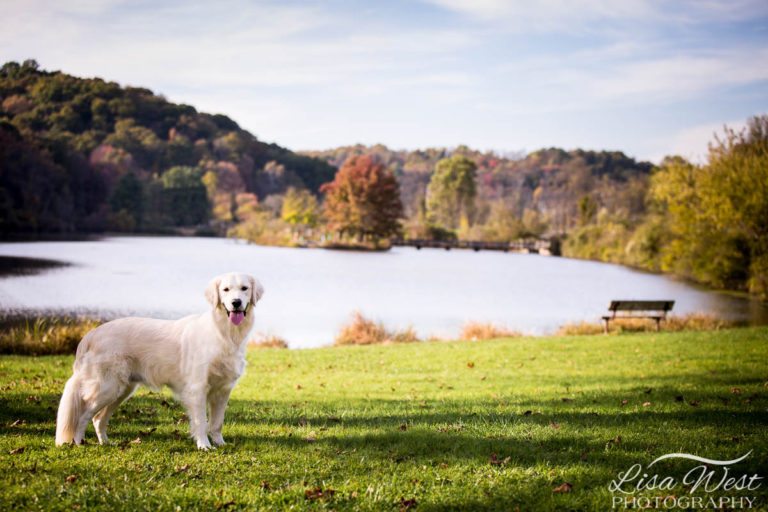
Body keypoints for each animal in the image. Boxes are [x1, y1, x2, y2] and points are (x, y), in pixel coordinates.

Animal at [54, 272, 264, 448]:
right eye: (226, 290)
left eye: (244, 288)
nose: (236, 302)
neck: (225, 334)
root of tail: (92, 333)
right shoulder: (197, 388)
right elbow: (201, 422)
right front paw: (204, 446)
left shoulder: (223, 390)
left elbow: (217, 423)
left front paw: (220, 444)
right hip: (108, 387)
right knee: (83, 415)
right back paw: (79, 442)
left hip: (122, 390)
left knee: (98, 418)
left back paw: (106, 442)